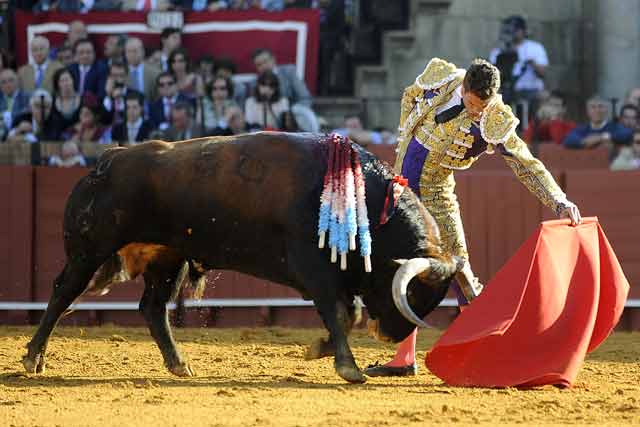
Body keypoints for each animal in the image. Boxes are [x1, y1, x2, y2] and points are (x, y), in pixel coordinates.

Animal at [21, 133, 460, 384]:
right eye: (412, 294)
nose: (389, 336)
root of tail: (105, 161)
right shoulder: (314, 270)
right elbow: (341, 313)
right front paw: (346, 366)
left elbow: (345, 314)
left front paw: (319, 350)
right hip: (89, 251)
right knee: (64, 292)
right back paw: (32, 358)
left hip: (168, 258)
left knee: (153, 308)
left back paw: (179, 364)